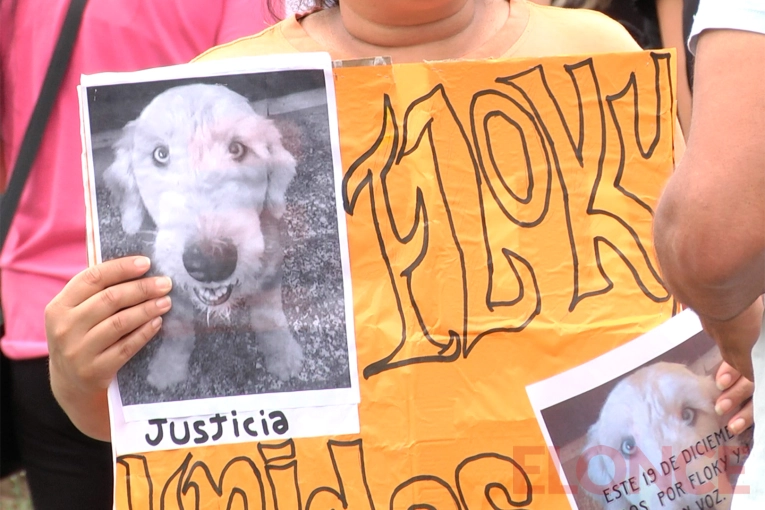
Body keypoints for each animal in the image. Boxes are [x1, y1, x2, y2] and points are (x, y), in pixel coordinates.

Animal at [102, 81, 304, 388]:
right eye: (160, 154)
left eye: (236, 148)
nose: (210, 262)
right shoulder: (167, 279)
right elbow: (177, 326)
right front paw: (169, 367)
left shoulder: (270, 263)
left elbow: (268, 314)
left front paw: (283, 355)